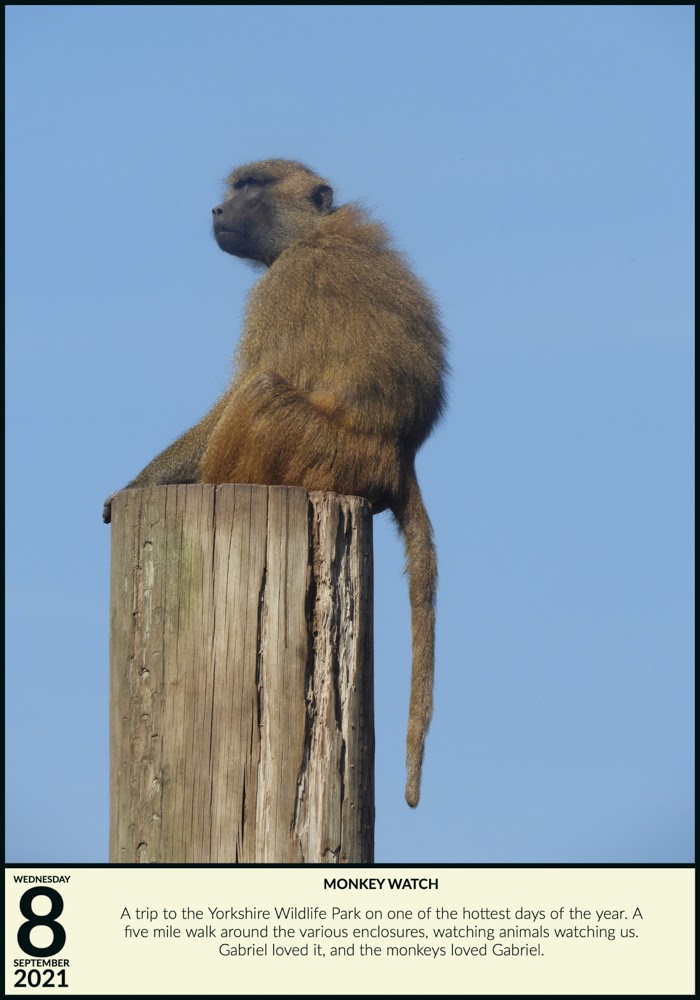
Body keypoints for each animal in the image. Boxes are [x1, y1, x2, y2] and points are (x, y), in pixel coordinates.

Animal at [103, 159, 447, 807]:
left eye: (252, 188)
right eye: (235, 188)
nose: (217, 212)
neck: (312, 232)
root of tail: (399, 459)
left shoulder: (282, 286)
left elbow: (246, 382)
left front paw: (136, 485)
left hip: (320, 454)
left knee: (262, 391)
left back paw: (204, 484)